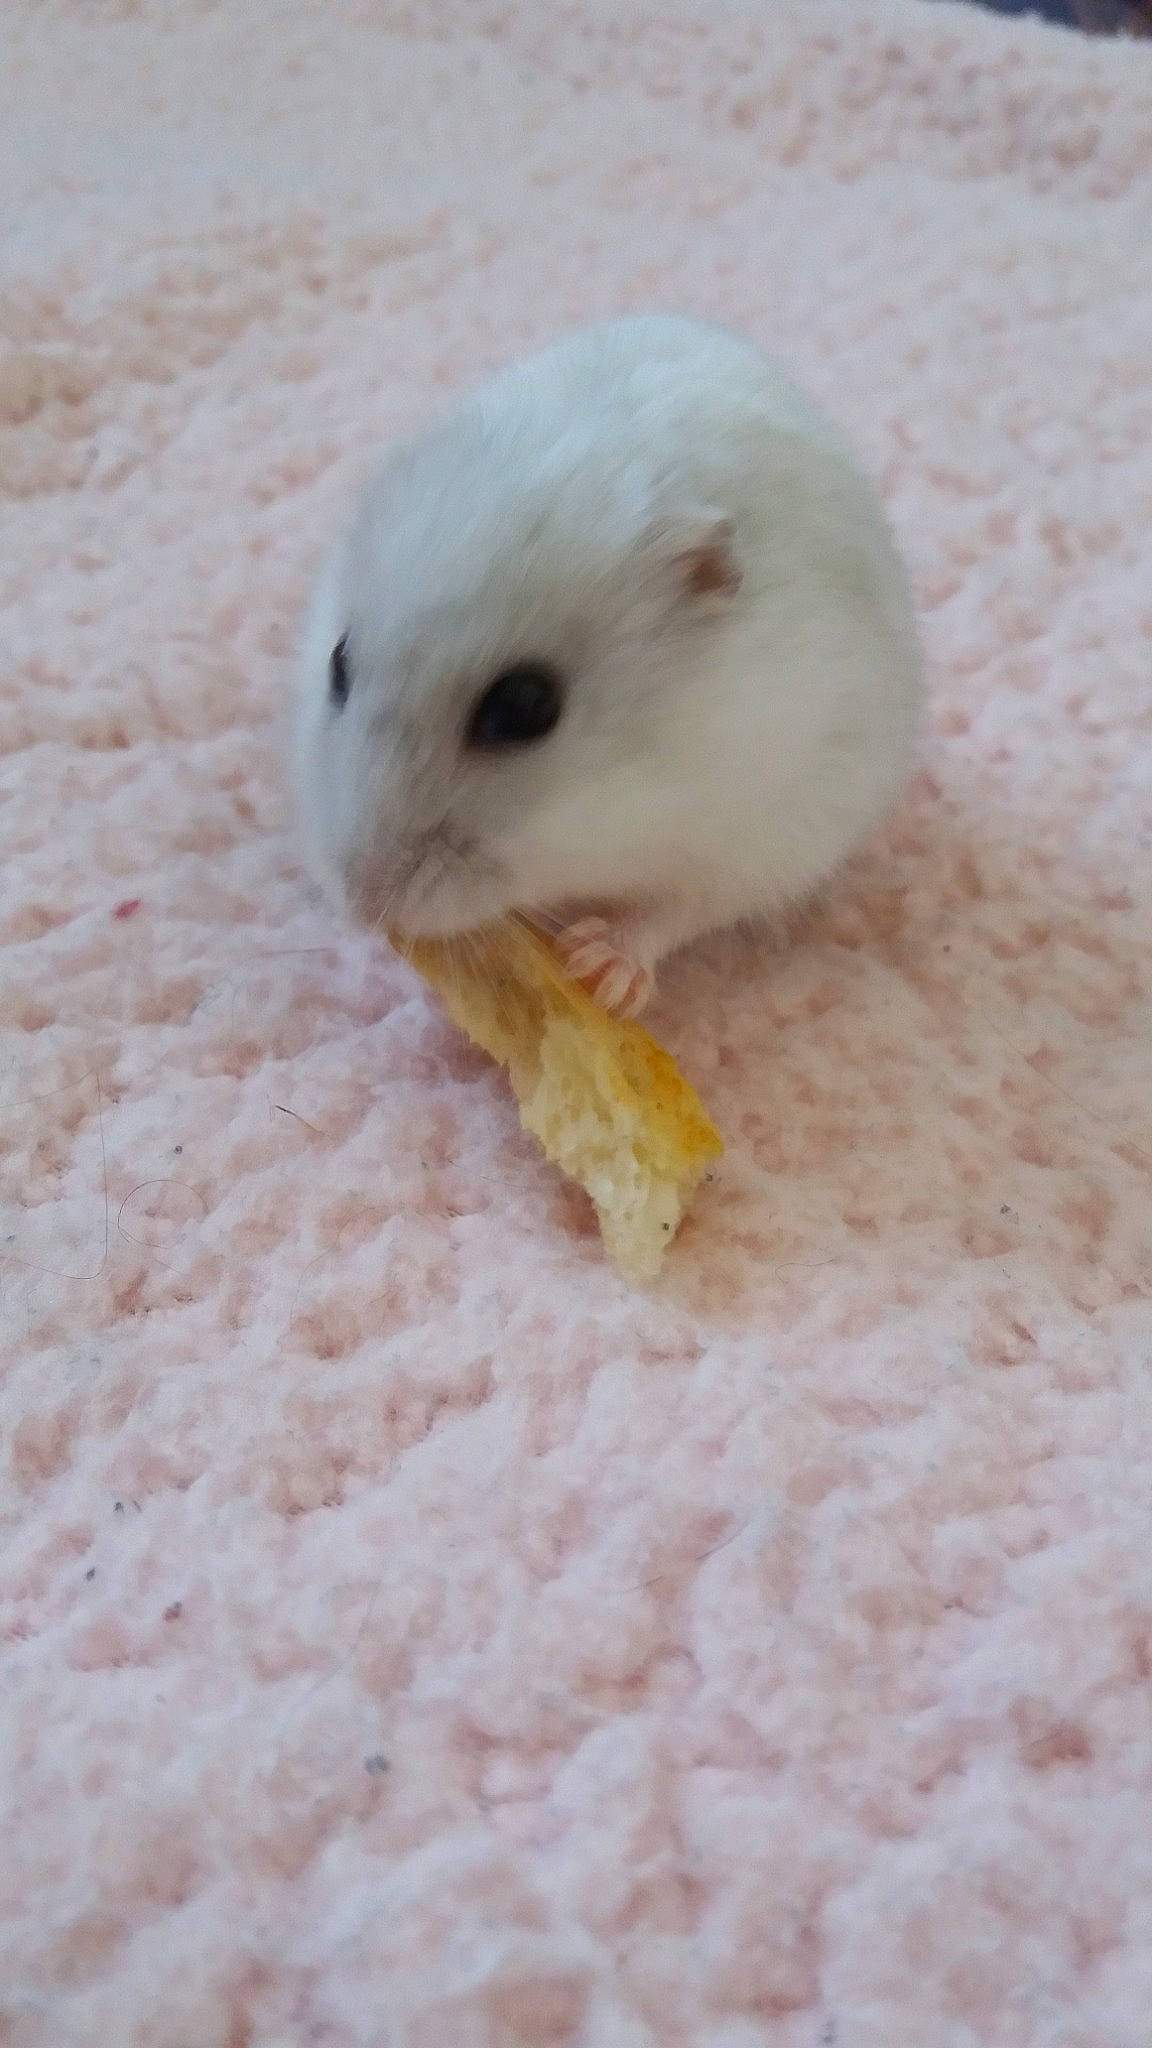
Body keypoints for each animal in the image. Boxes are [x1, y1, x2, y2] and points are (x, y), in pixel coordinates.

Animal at [295, 314, 920, 1015]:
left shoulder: (765, 832)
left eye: (525, 706)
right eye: (338, 663)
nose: (364, 907)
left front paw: (601, 970)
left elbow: (675, 910)